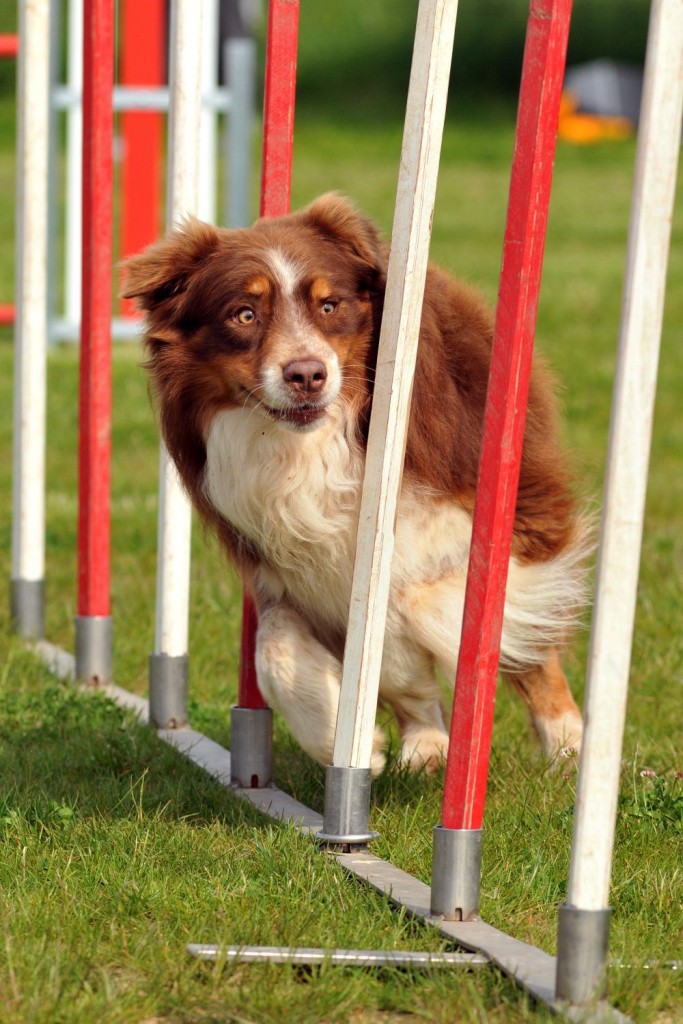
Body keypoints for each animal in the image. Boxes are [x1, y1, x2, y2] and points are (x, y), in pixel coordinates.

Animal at [121, 193, 589, 774]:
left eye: (330, 306)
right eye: (244, 314)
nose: (306, 374)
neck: (308, 446)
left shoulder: (479, 510)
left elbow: (419, 599)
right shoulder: (287, 569)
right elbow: (276, 645)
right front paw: (349, 739)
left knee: (532, 648)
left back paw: (569, 746)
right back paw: (426, 743)